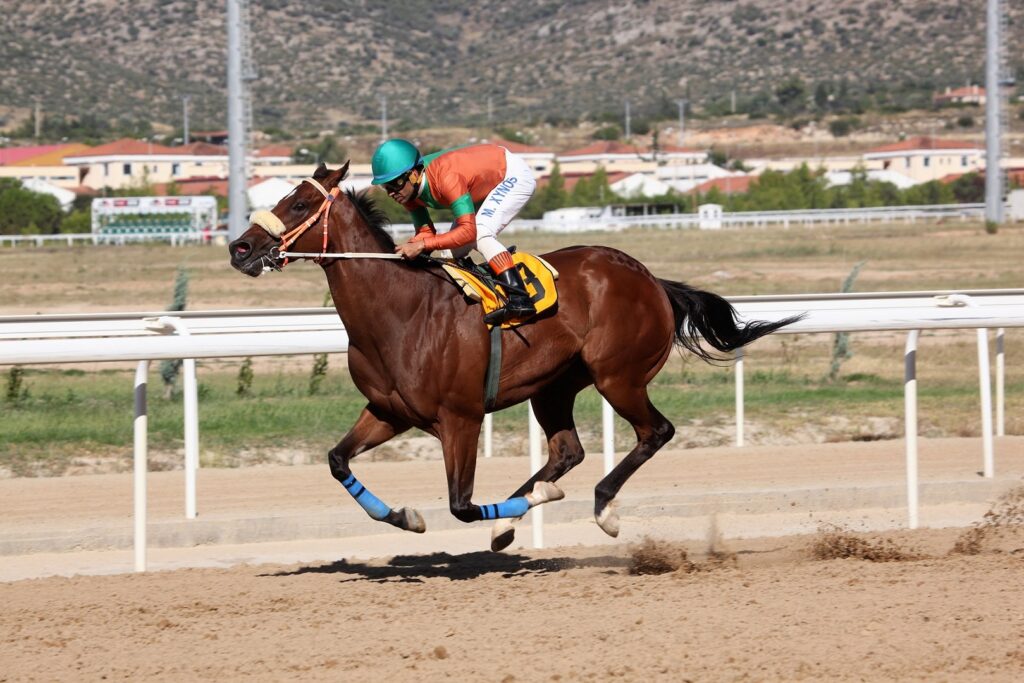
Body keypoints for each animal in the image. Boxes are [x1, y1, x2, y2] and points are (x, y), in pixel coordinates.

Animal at [230, 162, 798, 552]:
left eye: (298, 204)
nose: (240, 248)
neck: (401, 311)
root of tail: (651, 279)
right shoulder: (389, 411)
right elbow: (336, 460)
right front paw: (407, 516)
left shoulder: (460, 418)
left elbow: (460, 506)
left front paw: (532, 504)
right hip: (553, 387)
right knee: (567, 451)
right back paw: (512, 519)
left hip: (618, 377)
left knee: (654, 432)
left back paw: (599, 509)